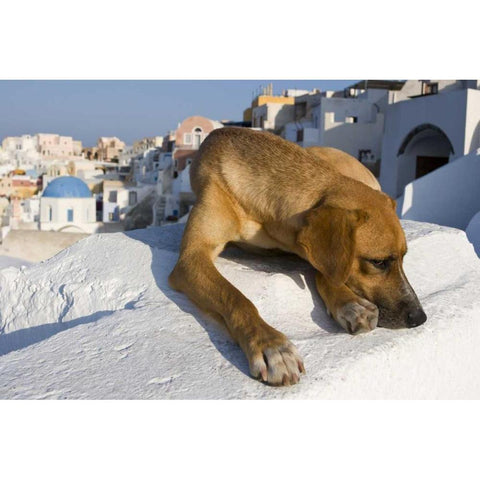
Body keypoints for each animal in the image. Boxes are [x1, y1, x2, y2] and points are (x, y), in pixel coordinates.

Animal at [168, 126, 424, 386]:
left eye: (403, 258)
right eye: (378, 262)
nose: (420, 317)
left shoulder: (302, 244)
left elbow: (325, 272)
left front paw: (349, 304)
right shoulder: (192, 257)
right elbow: (234, 296)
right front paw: (271, 346)